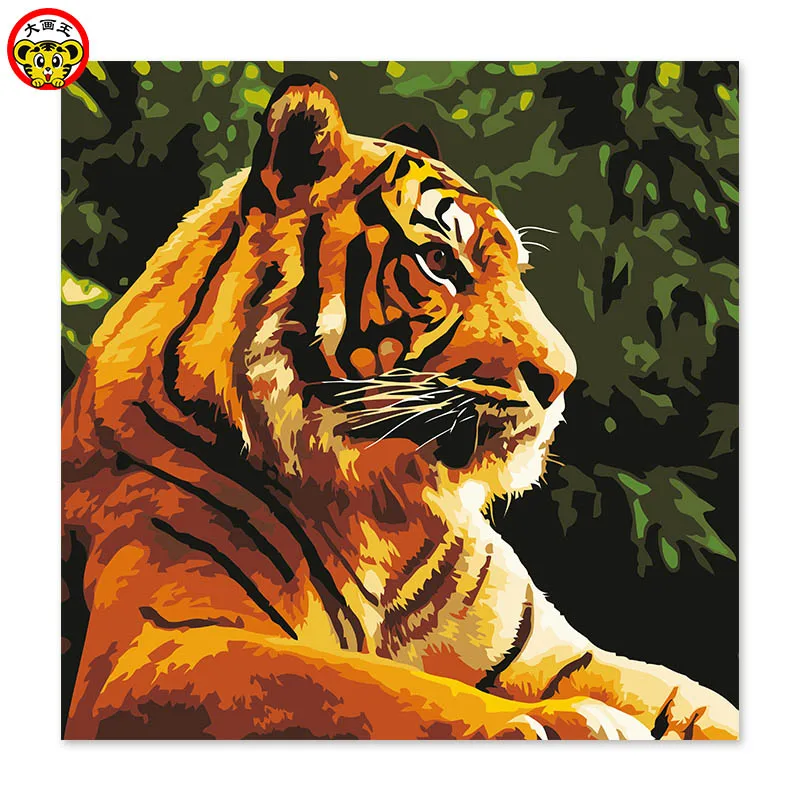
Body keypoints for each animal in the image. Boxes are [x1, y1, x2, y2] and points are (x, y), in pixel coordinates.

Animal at [62, 74, 738, 740]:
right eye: (439, 261)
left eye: (518, 271)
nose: (561, 378)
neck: (382, 508)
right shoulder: (155, 645)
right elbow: (368, 686)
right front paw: (572, 721)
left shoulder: (555, 655)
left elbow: (698, 704)